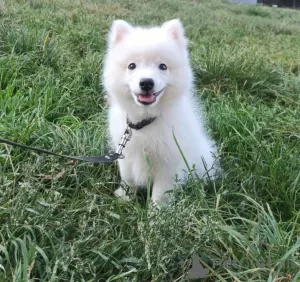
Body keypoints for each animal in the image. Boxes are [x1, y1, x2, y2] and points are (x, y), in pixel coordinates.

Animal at [102, 19, 218, 205]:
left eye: (163, 66)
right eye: (132, 66)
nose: (146, 82)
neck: (145, 122)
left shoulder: (169, 163)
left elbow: (160, 192)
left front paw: (157, 212)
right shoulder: (126, 157)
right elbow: (128, 179)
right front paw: (125, 198)